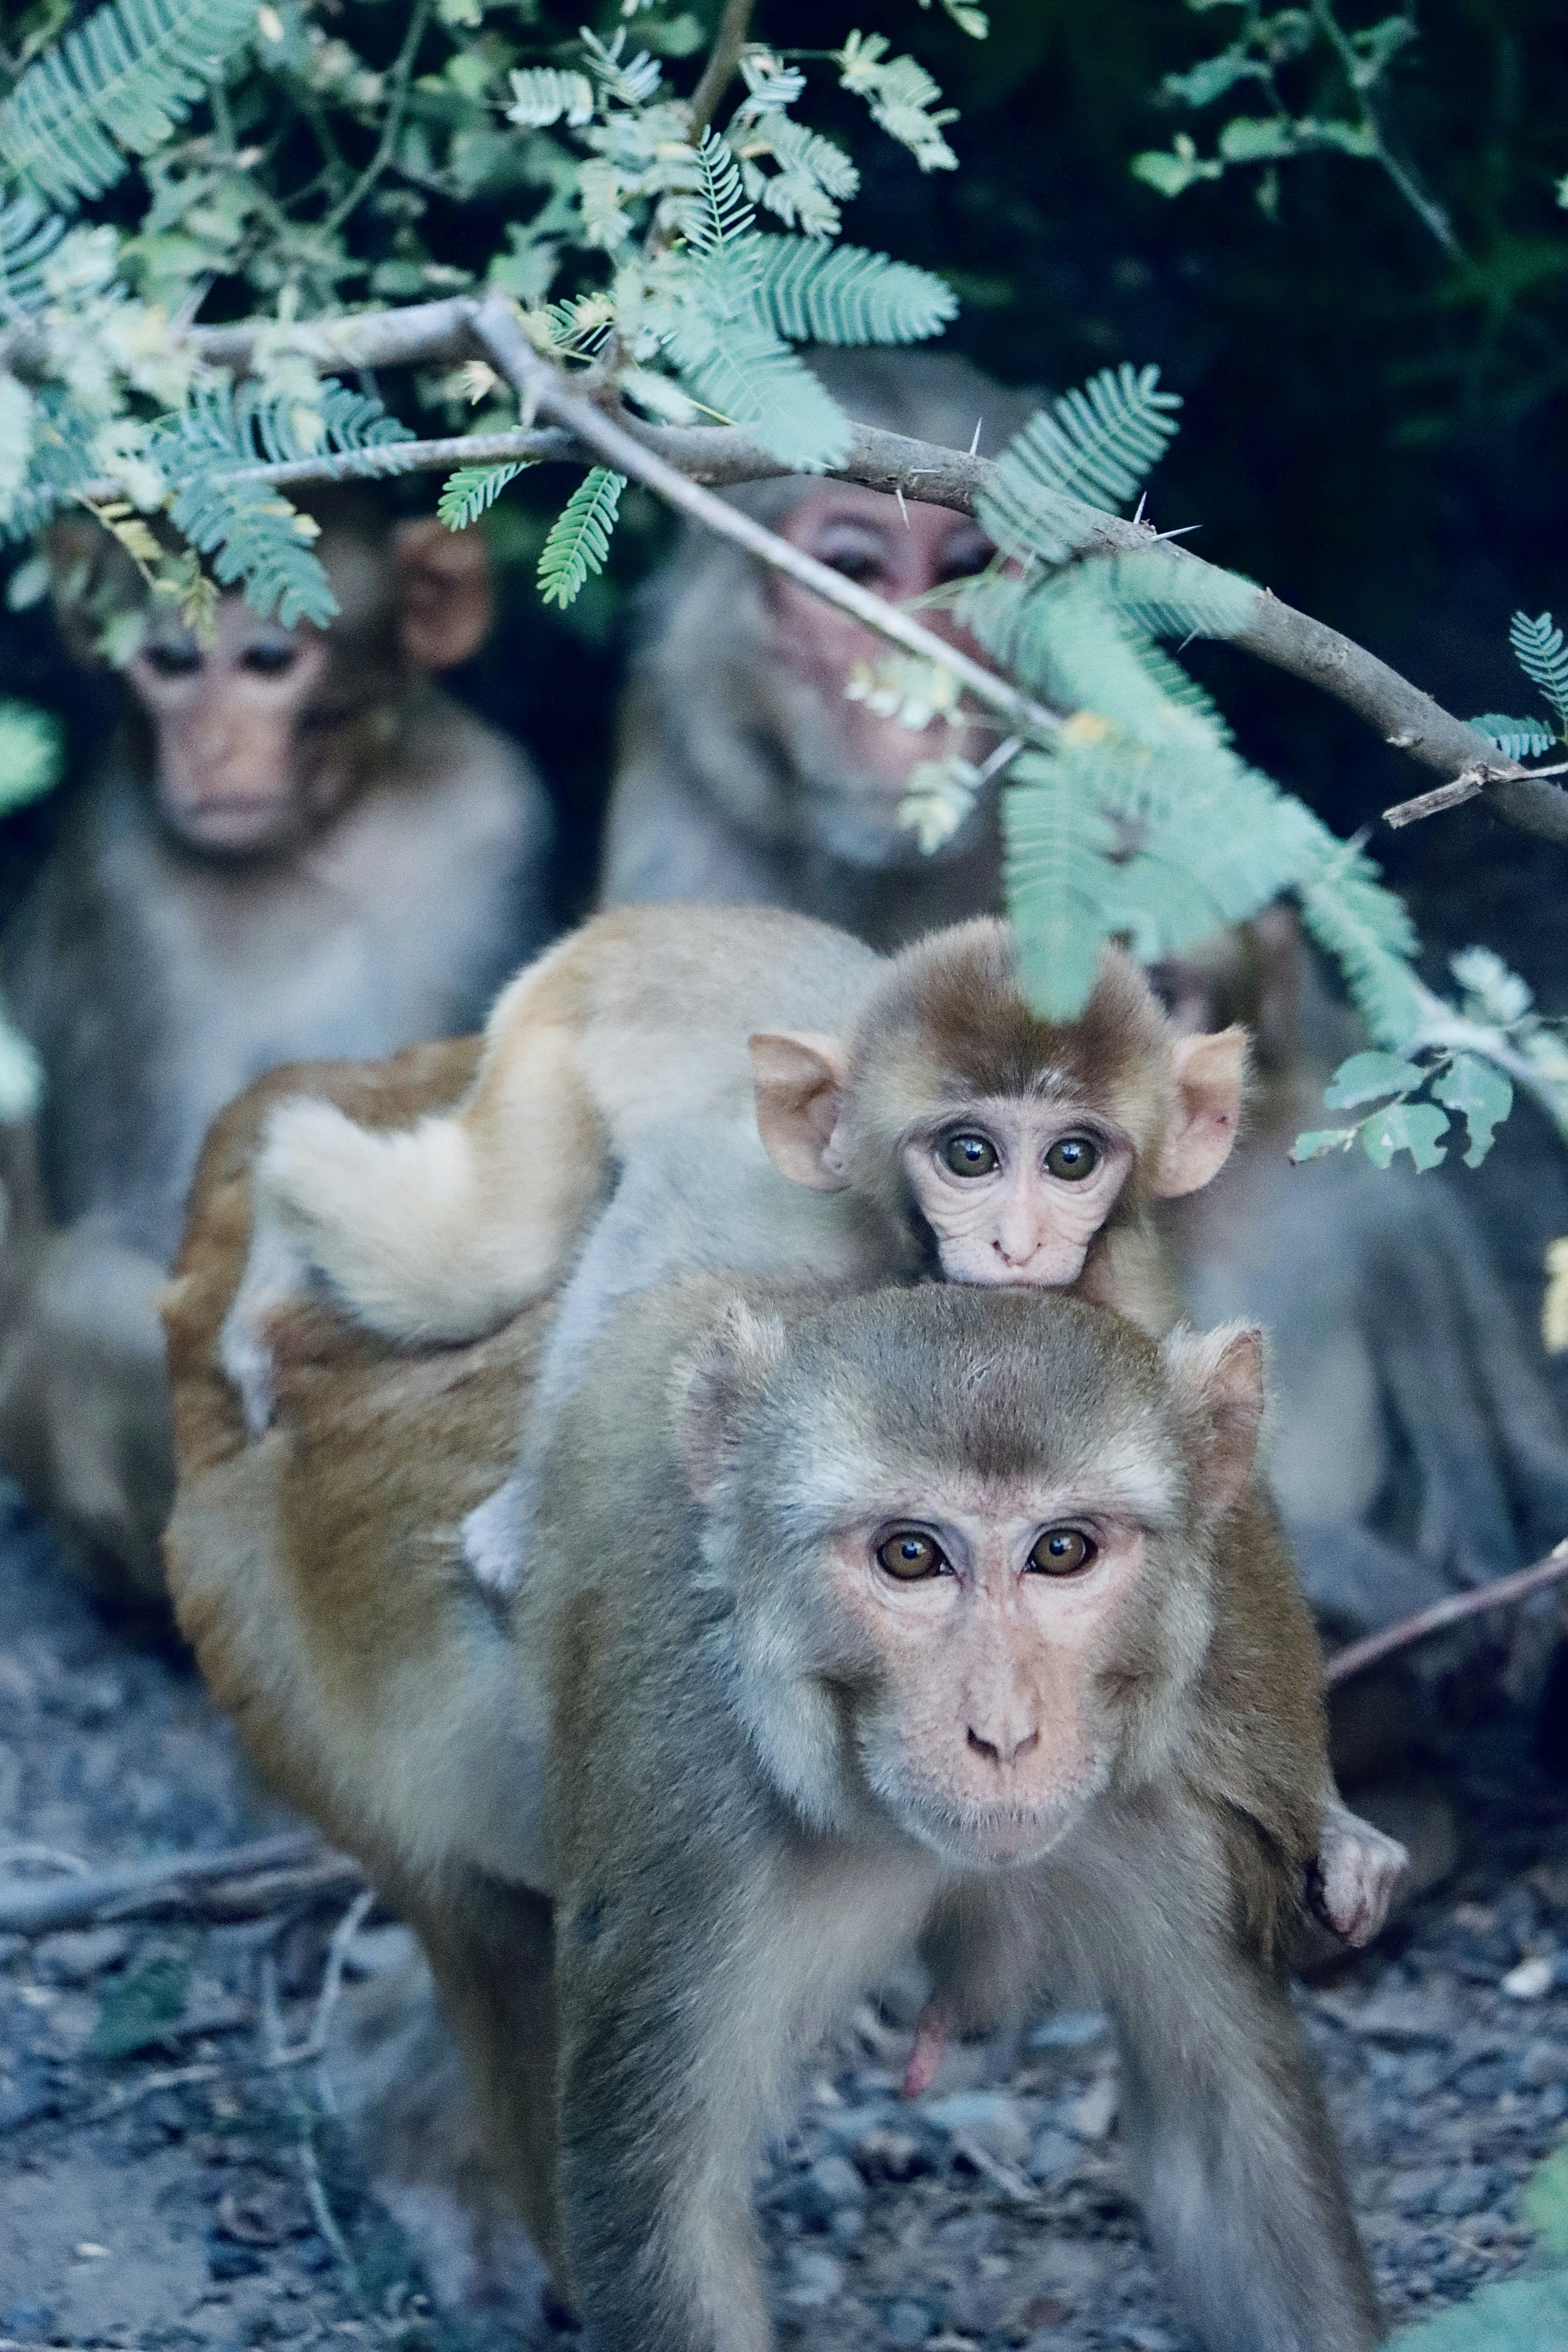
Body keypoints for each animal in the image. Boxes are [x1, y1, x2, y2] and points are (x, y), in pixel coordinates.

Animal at [0, 488, 555, 1608]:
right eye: (170, 661)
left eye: (265, 661)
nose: (208, 745)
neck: (316, 840)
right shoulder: (124, 889)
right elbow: (155, 1222)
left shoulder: (494, 819)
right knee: (82, 1294)